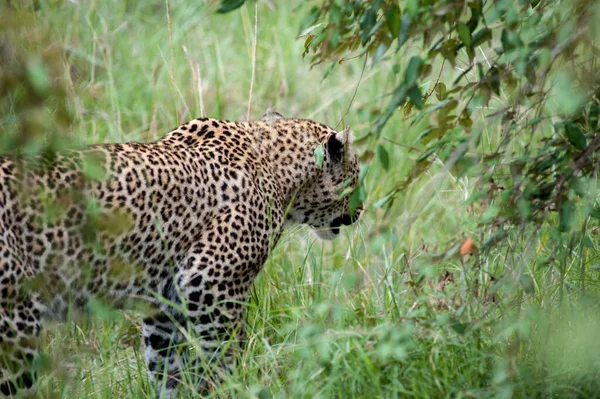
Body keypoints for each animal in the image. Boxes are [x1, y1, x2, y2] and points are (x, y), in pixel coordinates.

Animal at [0, 108, 360, 396]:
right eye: (356, 178)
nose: (361, 211)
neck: (278, 169)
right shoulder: (211, 283)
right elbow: (225, 355)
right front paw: (233, 389)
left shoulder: (165, 303)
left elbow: (167, 369)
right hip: (17, 321)